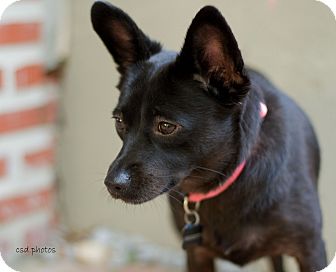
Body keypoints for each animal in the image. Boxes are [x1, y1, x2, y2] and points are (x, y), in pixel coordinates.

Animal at [90, 2, 326, 272]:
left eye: (166, 126)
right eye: (119, 122)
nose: (112, 184)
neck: (228, 179)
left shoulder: (310, 250)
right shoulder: (197, 254)